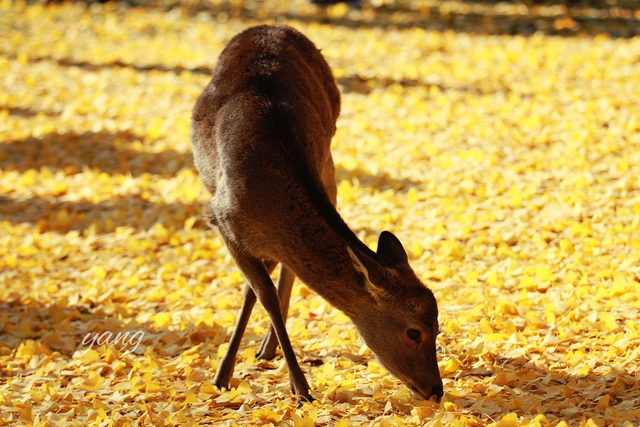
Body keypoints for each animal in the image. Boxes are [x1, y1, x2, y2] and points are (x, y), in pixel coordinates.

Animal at [189, 24, 444, 404]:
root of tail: (271, 27)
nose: (435, 391)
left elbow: (263, 287)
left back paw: (267, 348)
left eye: (438, 328)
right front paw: (281, 384)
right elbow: (262, 294)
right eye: (414, 332)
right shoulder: (221, 221)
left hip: (330, 164)